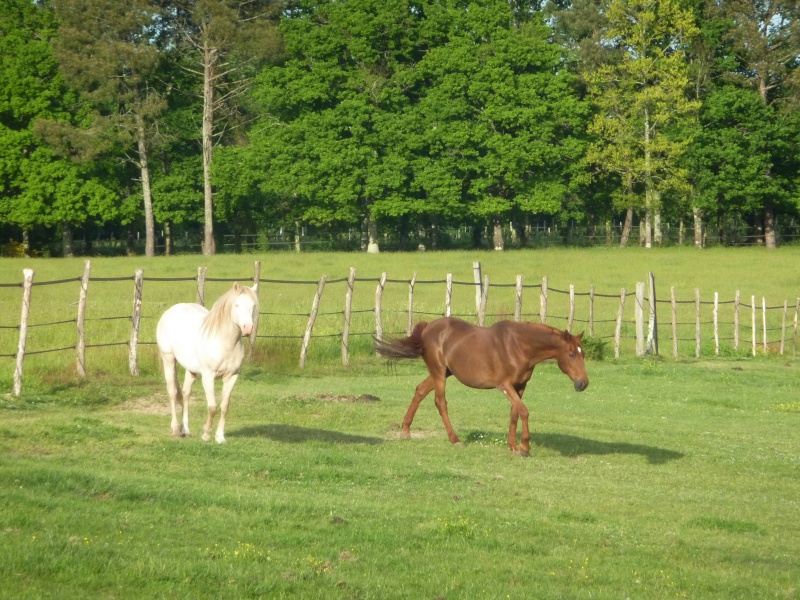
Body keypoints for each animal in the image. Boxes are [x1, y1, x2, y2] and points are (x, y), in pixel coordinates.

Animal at [155, 280, 258, 440]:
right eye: (237, 305)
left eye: (253, 305)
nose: (248, 328)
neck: (225, 342)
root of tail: (171, 310)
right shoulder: (208, 376)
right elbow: (212, 406)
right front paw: (206, 434)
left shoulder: (232, 376)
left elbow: (224, 407)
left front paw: (220, 437)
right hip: (168, 359)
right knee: (172, 392)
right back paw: (176, 430)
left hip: (190, 368)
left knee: (186, 393)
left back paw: (186, 430)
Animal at [374, 318, 588, 454]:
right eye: (571, 354)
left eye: (582, 353)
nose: (583, 383)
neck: (519, 346)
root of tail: (428, 327)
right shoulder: (504, 385)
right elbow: (524, 412)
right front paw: (524, 447)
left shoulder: (520, 386)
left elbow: (515, 413)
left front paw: (512, 445)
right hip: (439, 373)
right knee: (440, 402)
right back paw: (455, 440)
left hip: (442, 373)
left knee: (420, 390)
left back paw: (405, 430)